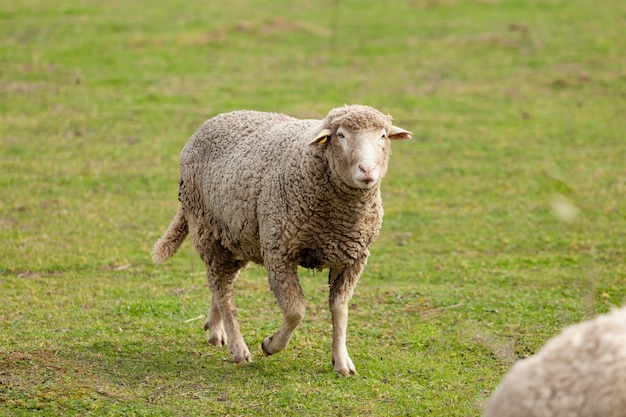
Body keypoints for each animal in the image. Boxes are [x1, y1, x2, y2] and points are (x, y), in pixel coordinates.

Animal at [151, 105, 410, 374]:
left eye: (383, 136)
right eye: (341, 135)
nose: (367, 170)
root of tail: (220, 116)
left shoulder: (352, 258)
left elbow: (340, 308)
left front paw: (341, 361)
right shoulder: (279, 251)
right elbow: (295, 311)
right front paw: (270, 345)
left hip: (237, 236)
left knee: (221, 282)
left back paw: (215, 329)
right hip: (206, 230)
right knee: (222, 290)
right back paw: (238, 348)